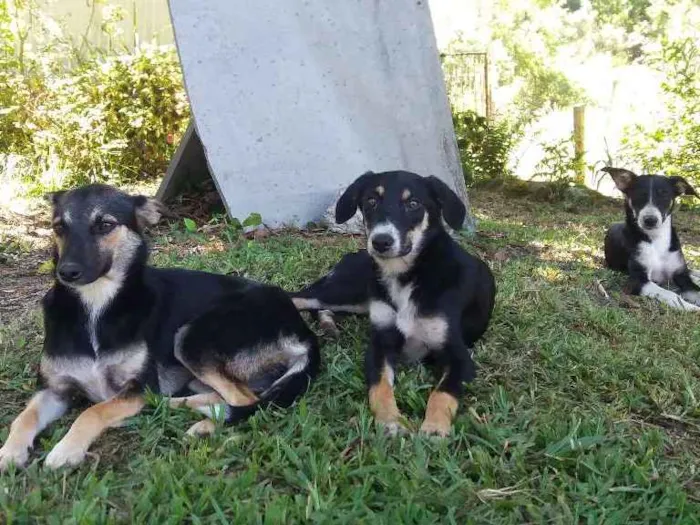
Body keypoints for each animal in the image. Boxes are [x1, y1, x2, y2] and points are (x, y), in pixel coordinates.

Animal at [298, 171, 494, 434]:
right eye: (371, 201)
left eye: (413, 204)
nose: (381, 242)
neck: (407, 276)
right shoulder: (381, 344)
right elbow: (380, 387)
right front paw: (391, 421)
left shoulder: (460, 357)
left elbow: (442, 393)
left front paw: (434, 427)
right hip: (344, 292)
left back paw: (329, 325)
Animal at [600, 166, 700, 310]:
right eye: (638, 194)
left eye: (664, 194)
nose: (650, 220)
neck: (656, 239)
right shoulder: (637, 281)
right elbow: (670, 294)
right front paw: (690, 307)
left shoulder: (682, 275)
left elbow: (695, 289)